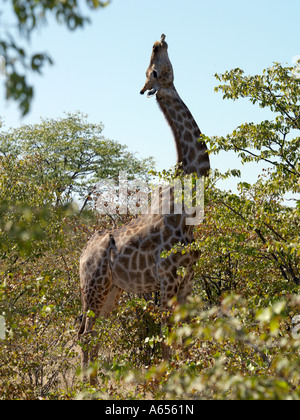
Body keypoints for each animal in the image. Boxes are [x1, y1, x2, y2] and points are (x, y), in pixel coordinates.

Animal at [77, 33, 210, 384]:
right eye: (154, 72)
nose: (159, 40)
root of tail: (80, 256)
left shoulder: (187, 281)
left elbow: (184, 336)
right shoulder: (167, 279)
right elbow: (165, 335)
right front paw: (167, 382)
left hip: (112, 290)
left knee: (94, 334)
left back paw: (94, 384)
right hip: (93, 287)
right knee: (85, 334)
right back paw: (86, 386)